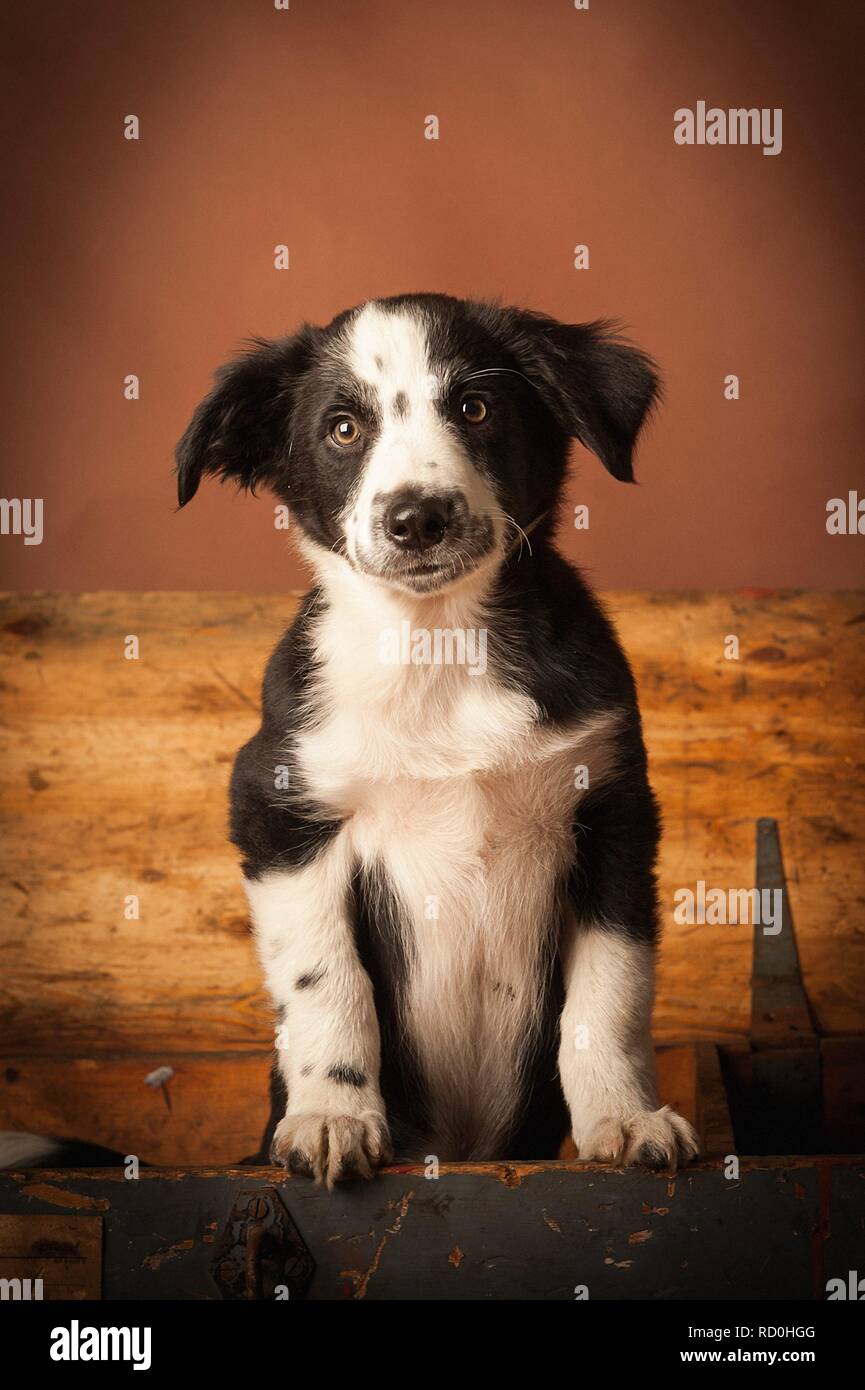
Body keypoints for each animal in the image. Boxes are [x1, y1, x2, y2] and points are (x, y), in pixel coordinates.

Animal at [178, 290, 706, 1184]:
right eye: (342, 429)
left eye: (475, 408)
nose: (417, 518)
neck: (438, 648)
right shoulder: (277, 812)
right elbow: (327, 983)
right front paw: (331, 1115)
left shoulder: (612, 811)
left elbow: (610, 993)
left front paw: (623, 1117)